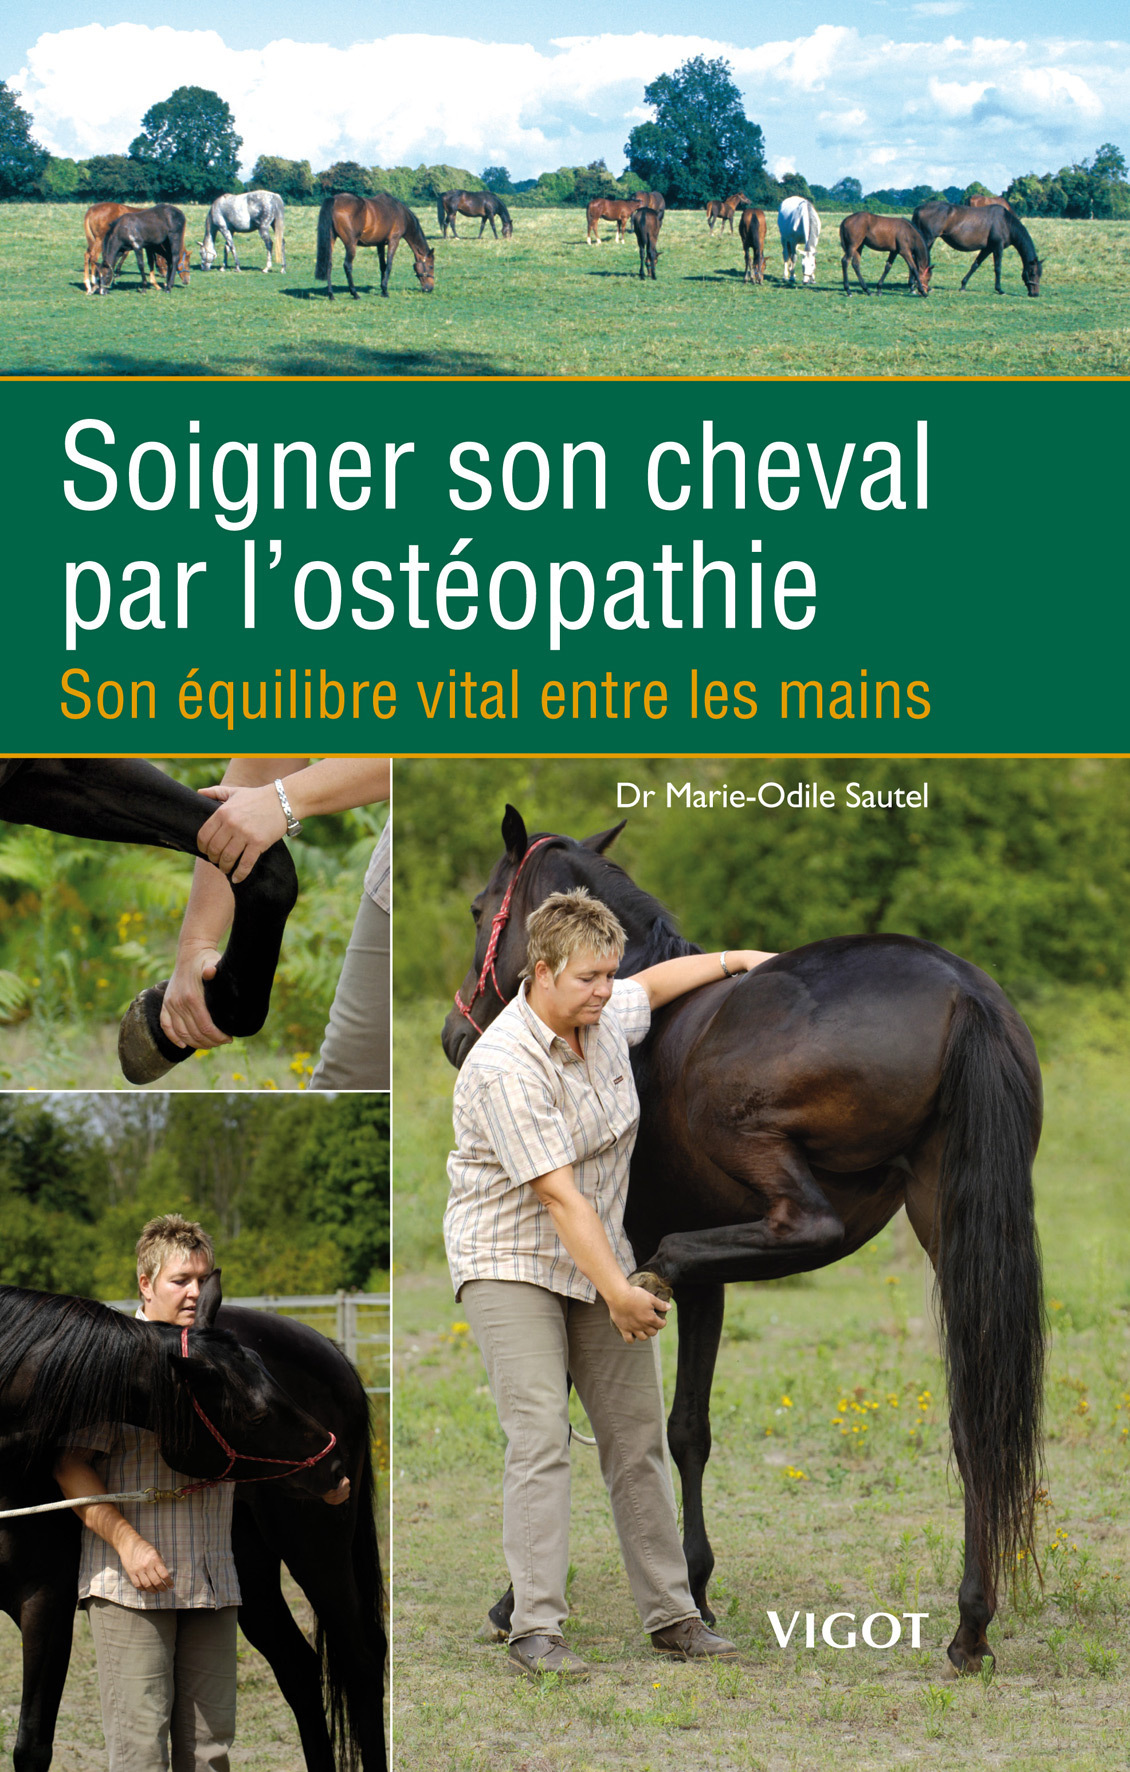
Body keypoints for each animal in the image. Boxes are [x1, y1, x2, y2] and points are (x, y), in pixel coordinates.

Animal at [0, 1274, 386, 1771]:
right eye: (257, 1414)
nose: (334, 1464)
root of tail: (333, 1353)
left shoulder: (45, 1600)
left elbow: (31, 1746)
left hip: (317, 1550)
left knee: (361, 1659)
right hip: (253, 1574)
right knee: (299, 1668)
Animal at [442, 808, 1045, 1677]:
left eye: (478, 907)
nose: (457, 1035)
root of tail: (962, 990)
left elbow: (582, 1422)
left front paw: (515, 1602)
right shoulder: (714, 1286)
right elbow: (688, 1429)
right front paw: (693, 1588)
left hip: (756, 1141)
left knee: (803, 1228)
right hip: (949, 1219)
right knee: (977, 1413)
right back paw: (971, 1627)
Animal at [908, 201, 1042, 297]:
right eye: (1033, 273)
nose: (1035, 294)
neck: (1005, 223)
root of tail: (918, 209)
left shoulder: (987, 249)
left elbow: (975, 265)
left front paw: (963, 285)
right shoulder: (997, 247)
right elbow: (998, 268)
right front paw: (1000, 289)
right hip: (928, 239)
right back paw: (913, 287)